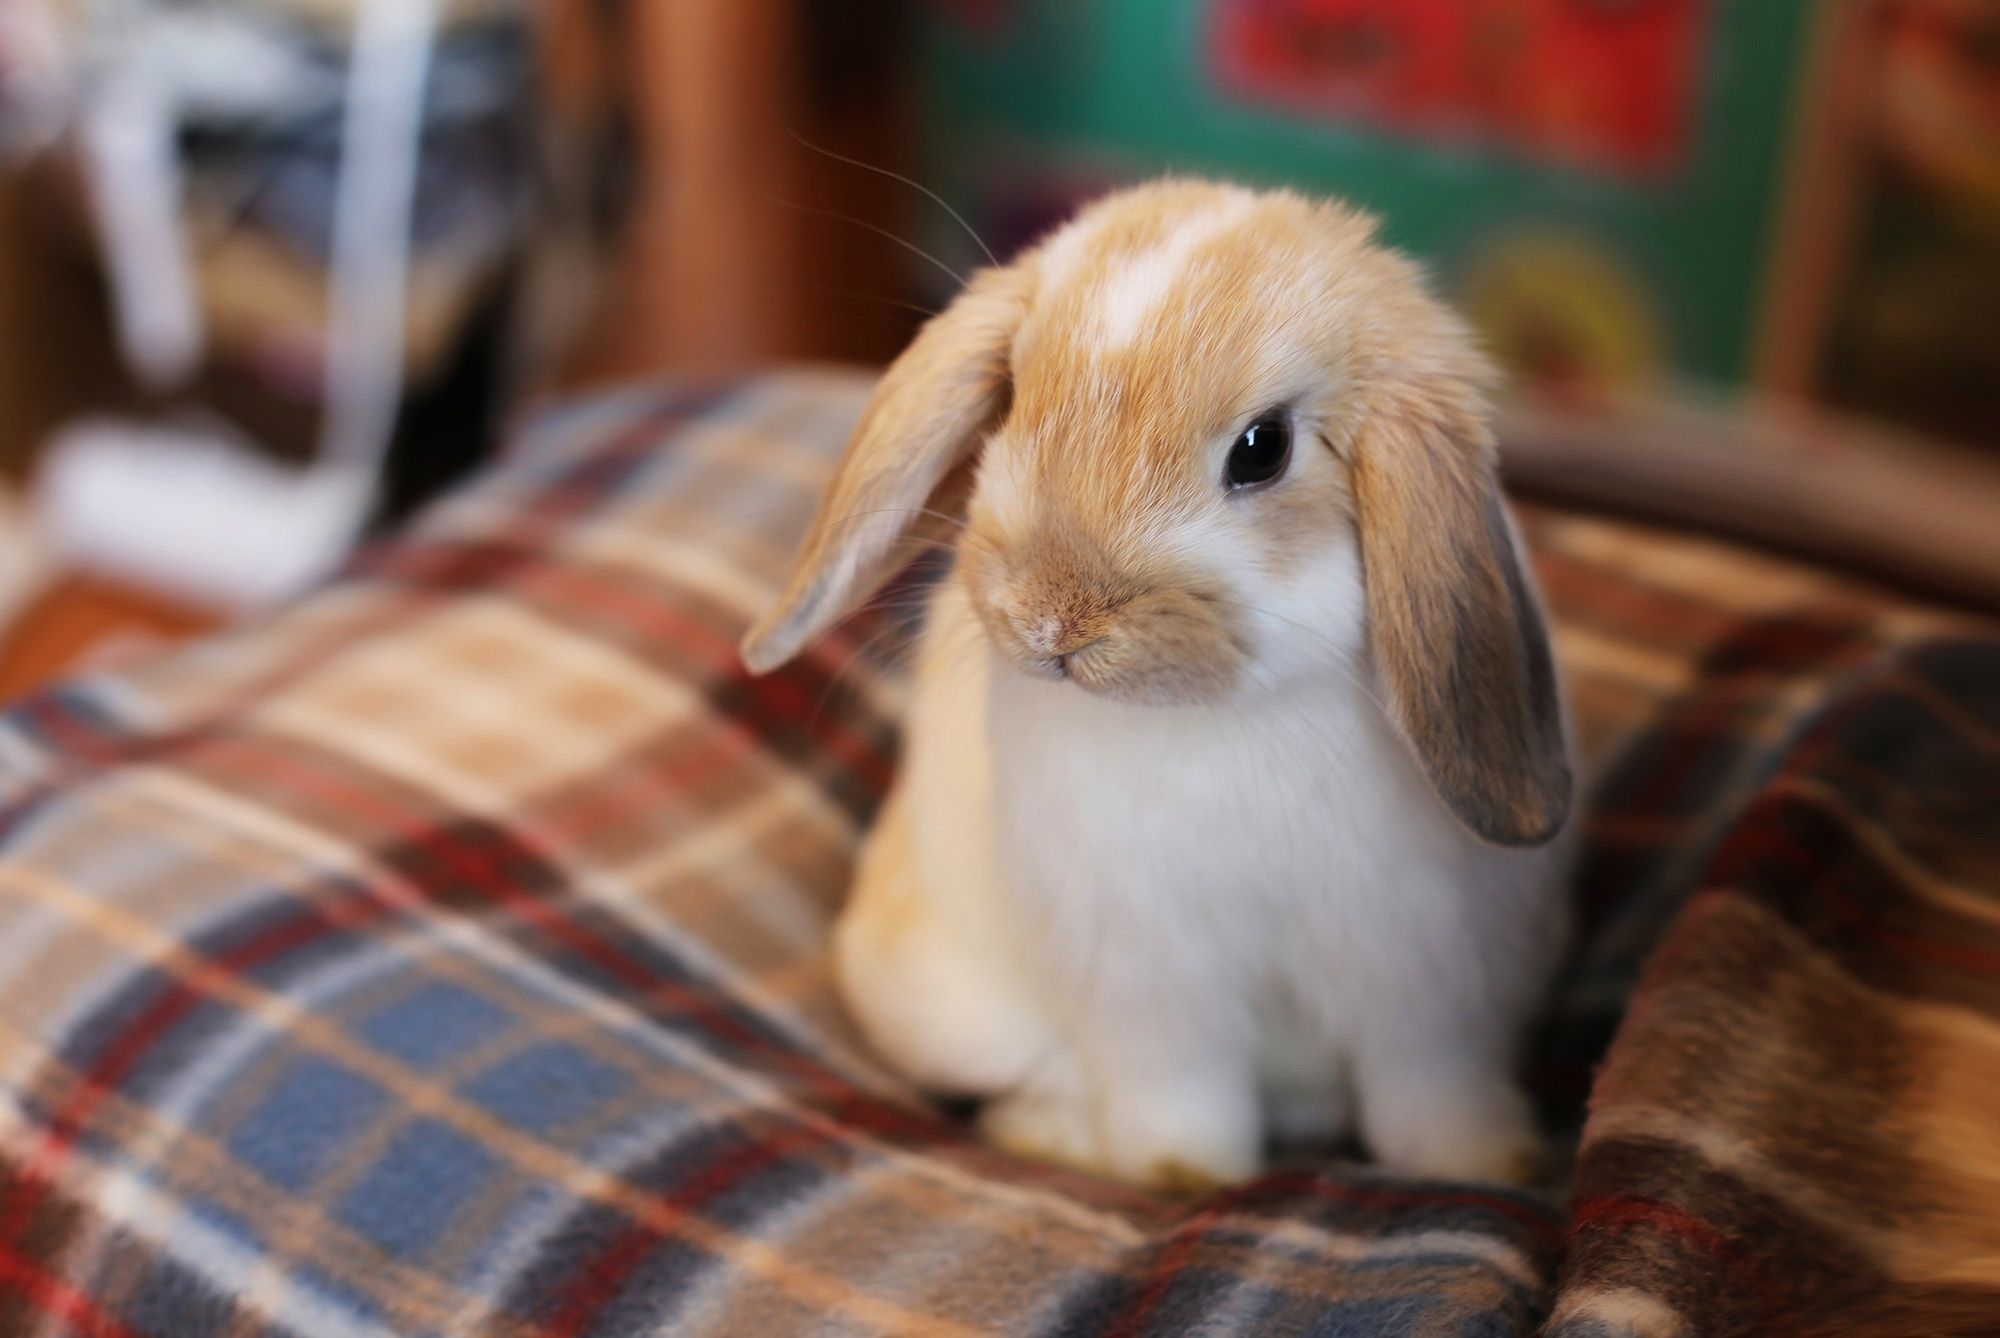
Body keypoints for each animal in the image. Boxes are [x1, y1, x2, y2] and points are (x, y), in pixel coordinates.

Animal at [742, 180, 1574, 1194]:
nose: (1054, 621)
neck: (1226, 718)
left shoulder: (1425, 975)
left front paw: (1491, 1168)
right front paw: (1185, 1180)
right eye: (1010, 396)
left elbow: (1431, 1090)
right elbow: (1179, 1091)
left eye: (1263, 448)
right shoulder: (1150, 977)